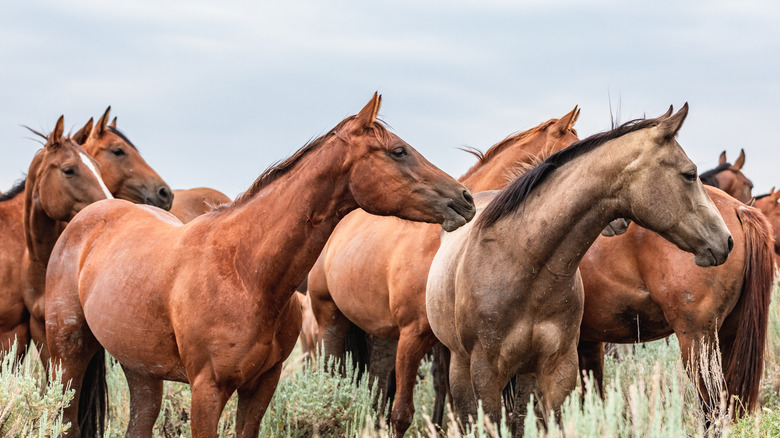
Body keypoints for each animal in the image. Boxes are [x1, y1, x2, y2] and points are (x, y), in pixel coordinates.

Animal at [45, 93, 478, 438]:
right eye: (399, 151)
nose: (466, 198)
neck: (245, 272)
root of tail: (88, 217)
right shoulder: (207, 389)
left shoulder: (262, 385)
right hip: (68, 354)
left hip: (142, 371)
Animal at [424, 104, 736, 432]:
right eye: (690, 174)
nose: (726, 241)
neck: (522, 262)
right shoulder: (486, 377)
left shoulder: (559, 370)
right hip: (461, 367)